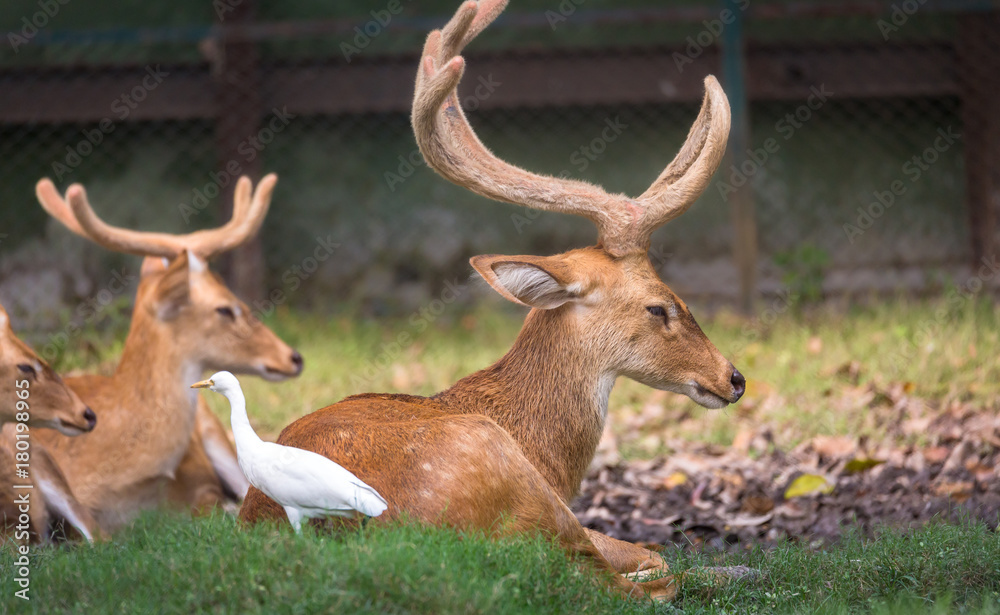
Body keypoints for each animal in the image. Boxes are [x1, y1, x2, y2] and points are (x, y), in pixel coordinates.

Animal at [239, 0, 745, 601]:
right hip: (506, 477)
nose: (734, 378)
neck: (543, 448)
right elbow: (650, 556)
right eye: (658, 305)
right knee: (616, 578)